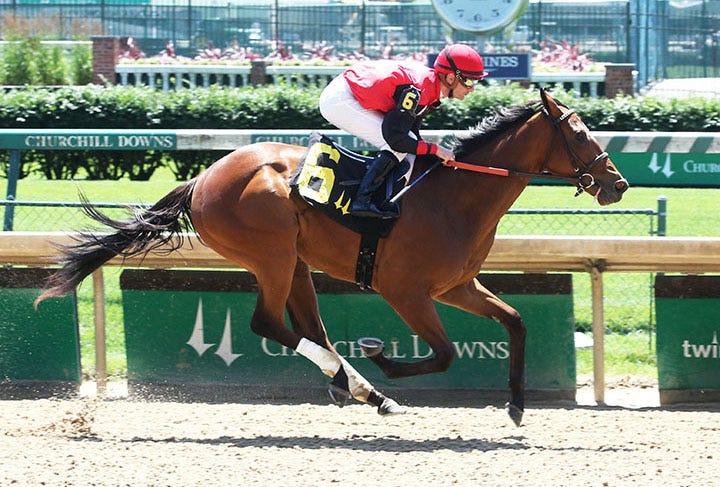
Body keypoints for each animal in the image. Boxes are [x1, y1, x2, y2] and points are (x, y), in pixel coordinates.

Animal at [36, 89, 628, 426]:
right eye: (579, 133)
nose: (617, 184)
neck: (454, 196)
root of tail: (201, 178)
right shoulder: (406, 291)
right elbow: (442, 354)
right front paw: (380, 353)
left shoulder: (456, 285)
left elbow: (516, 322)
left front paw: (517, 405)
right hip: (271, 255)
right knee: (269, 323)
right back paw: (364, 385)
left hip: (295, 262)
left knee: (308, 329)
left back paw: (362, 391)